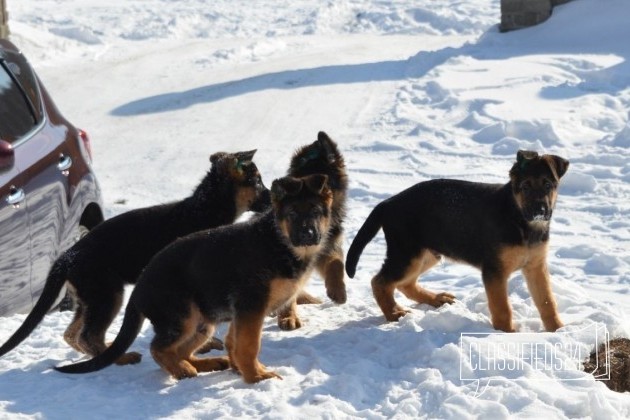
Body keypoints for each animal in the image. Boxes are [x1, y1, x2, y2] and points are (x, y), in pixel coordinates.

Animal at [0, 150, 270, 360]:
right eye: (257, 182)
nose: (273, 198)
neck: (205, 207)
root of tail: (66, 257)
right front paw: (205, 345)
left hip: (91, 298)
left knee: (73, 334)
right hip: (107, 294)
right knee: (88, 335)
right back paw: (121, 358)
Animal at [55, 174, 336, 384]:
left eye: (315, 211)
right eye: (292, 214)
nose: (309, 234)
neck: (278, 240)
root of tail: (139, 289)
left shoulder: (241, 312)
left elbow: (234, 342)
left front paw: (239, 369)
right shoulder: (250, 307)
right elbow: (249, 345)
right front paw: (256, 376)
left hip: (203, 323)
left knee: (179, 350)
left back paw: (207, 363)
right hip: (184, 317)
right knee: (159, 348)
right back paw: (182, 370)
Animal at [346, 150, 572, 332]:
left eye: (548, 185)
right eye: (525, 187)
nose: (540, 211)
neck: (519, 219)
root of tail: (387, 203)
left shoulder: (536, 267)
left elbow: (547, 302)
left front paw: (558, 331)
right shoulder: (494, 271)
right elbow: (502, 308)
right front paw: (506, 334)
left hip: (427, 254)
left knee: (405, 284)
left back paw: (435, 299)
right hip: (407, 254)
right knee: (380, 281)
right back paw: (394, 313)